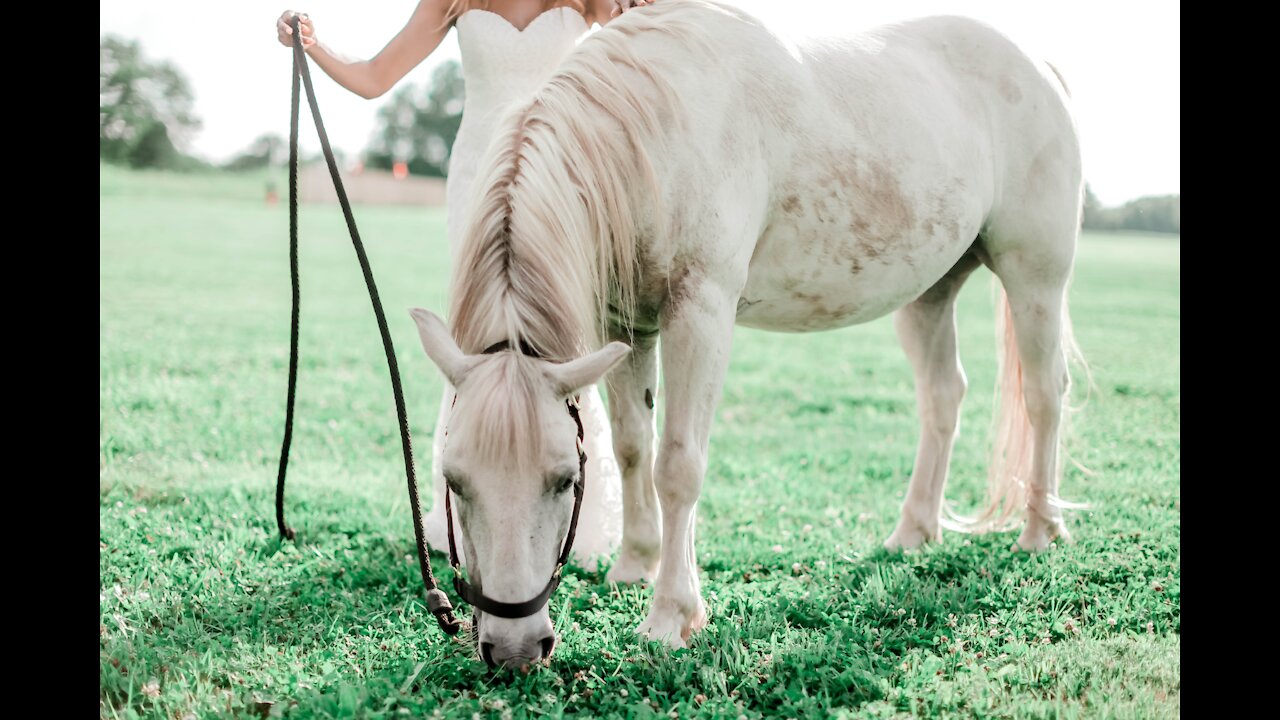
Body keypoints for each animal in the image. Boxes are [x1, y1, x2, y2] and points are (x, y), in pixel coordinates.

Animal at [407, 0, 1080, 666]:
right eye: (453, 480)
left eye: (564, 481)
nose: (513, 649)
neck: (654, 131)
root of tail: (1040, 66)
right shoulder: (629, 326)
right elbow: (632, 447)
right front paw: (635, 566)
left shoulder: (700, 311)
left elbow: (678, 464)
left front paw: (671, 615)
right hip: (929, 294)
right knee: (943, 397)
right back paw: (913, 531)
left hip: (1035, 279)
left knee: (1045, 394)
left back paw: (1039, 531)